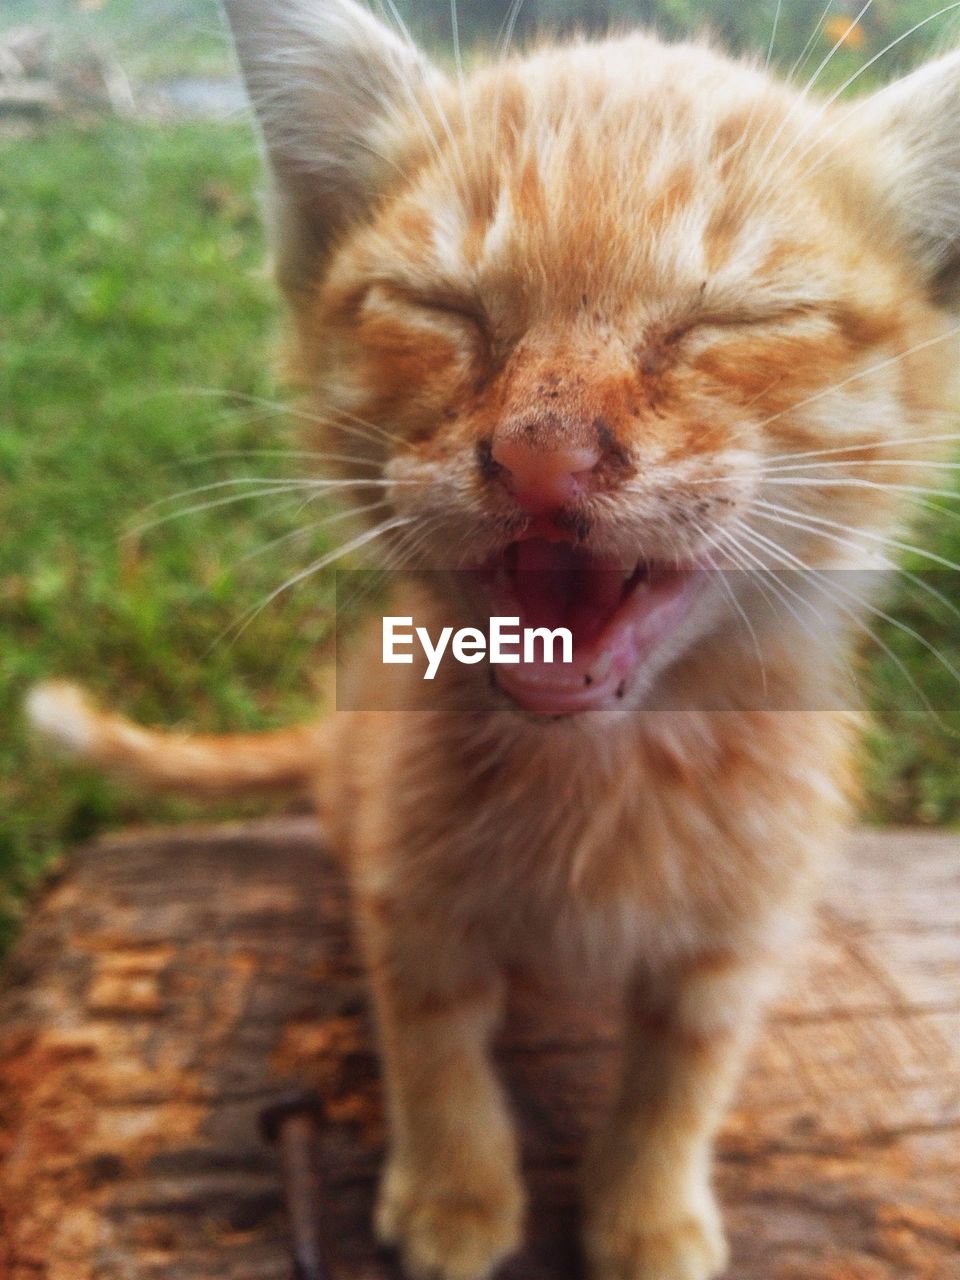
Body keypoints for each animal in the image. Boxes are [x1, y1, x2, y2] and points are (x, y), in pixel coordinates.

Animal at [28, 5, 960, 1274]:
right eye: (443, 308)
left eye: (733, 320)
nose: (543, 452)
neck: (602, 778)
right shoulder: (407, 888)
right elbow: (430, 1037)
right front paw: (456, 1190)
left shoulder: (744, 930)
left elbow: (689, 1065)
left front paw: (648, 1208)